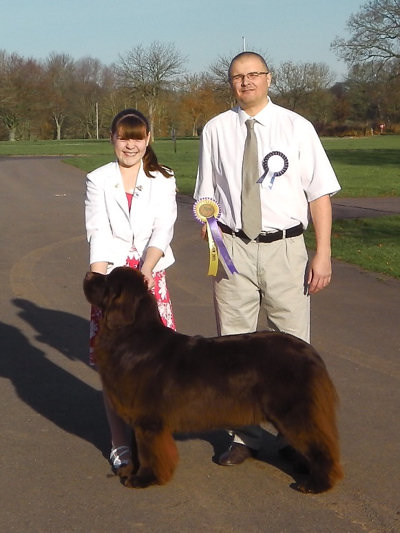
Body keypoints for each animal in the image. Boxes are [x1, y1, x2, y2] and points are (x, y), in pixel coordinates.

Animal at [83, 268, 342, 492]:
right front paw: (130, 471)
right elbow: (137, 447)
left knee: (321, 445)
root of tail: (311, 353)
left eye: (107, 281)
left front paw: (144, 479)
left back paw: (316, 484)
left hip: (295, 412)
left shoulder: (149, 419)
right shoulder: (138, 416)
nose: (88, 273)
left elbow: (148, 451)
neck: (131, 338)